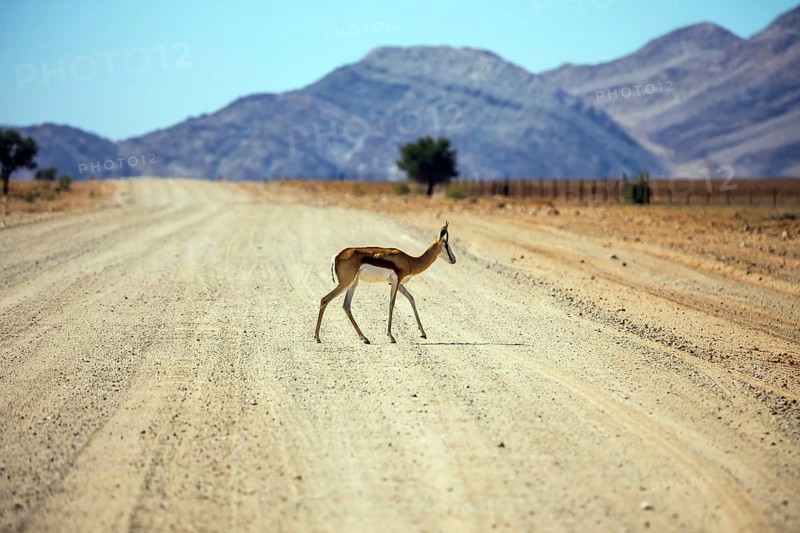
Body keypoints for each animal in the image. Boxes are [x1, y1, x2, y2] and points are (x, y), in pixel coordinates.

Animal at [315, 222, 456, 344]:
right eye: (446, 245)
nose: (454, 259)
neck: (410, 261)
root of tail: (337, 256)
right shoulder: (396, 281)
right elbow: (392, 304)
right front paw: (391, 337)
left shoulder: (396, 284)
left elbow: (411, 298)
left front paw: (423, 333)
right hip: (345, 283)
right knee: (325, 299)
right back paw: (317, 337)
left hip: (353, 284)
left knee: (346, 305)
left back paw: (364, 338)